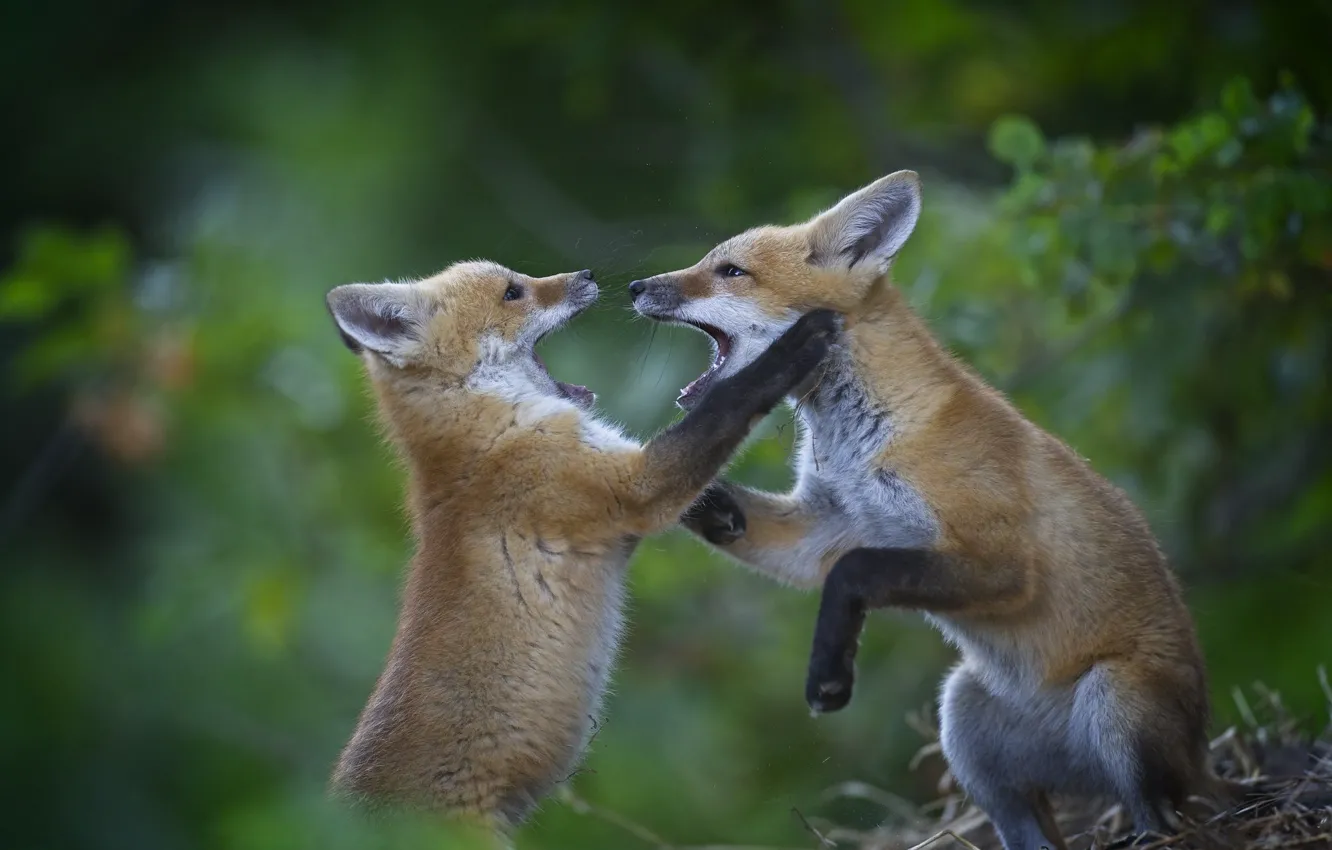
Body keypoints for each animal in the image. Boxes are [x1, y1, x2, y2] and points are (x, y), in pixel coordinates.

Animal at [324, 260, 837, 837]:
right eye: (514, 293)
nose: (587, 274)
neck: (489, 435)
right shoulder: (632, 489)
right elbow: (725, 407)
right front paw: (799, 343)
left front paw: (723, 514)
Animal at [629, 172, 1234, 850]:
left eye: (730, 271)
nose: (634, 287)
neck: (866, 438)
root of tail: (1210, 757)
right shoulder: (830, 524)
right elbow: (809, 553)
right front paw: (693, 499)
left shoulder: (1000, 562)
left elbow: (855, 573)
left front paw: (830, 670)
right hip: (964, 720)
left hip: (1116, 703)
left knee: (1166, 814)